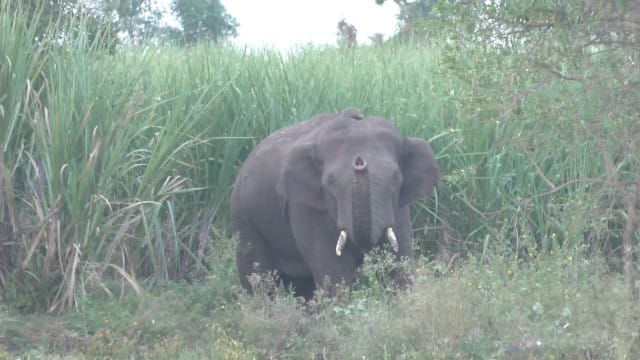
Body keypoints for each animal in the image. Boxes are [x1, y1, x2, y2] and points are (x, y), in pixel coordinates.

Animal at [231, 108, 444, 300]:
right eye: (331, 182)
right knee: (258, 276)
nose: (359, 161)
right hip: (244, 217)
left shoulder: (398, 205)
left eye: (395, 178)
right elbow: (333, 269)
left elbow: (400, 259)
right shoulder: (304, 205)